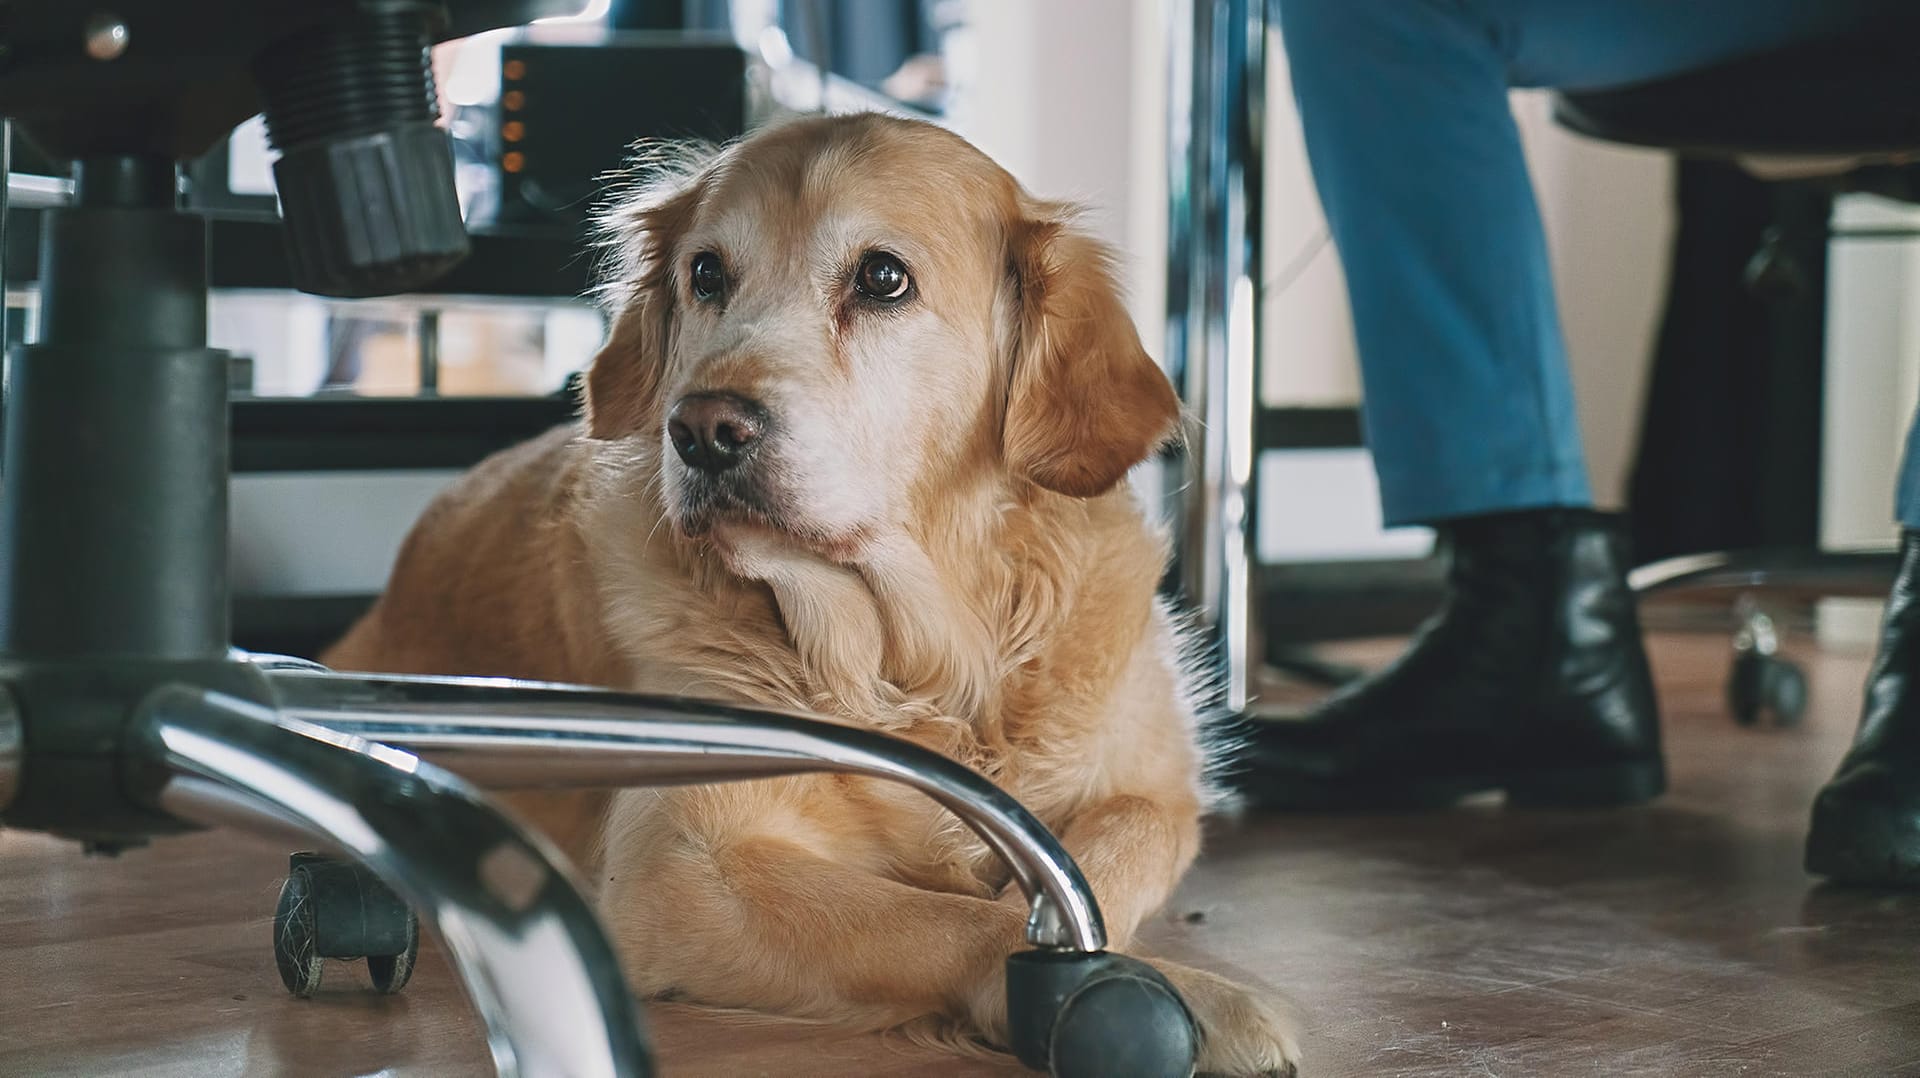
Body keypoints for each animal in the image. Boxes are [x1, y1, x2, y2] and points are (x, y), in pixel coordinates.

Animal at [326, 111, 1305, 1076]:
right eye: (707, 274)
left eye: (882, 278)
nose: (701, 430)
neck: (921, 664)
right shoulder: (682, 865)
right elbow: (963, 919)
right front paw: (1172, 997)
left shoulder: (1156, 788)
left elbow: (1099, 859)